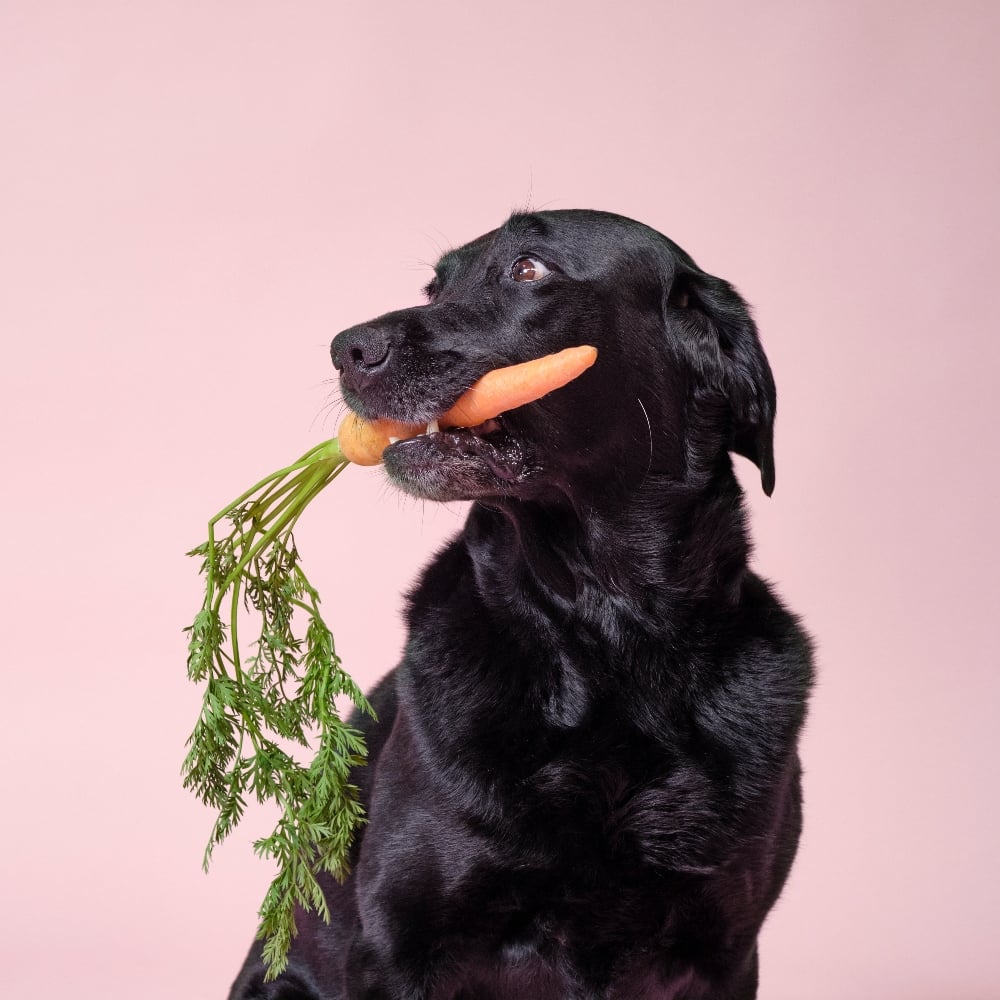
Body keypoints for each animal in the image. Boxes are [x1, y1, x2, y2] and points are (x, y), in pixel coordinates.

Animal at [229, 211, 812, 1000]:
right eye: (435, 286)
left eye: (528, 269)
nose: (347, 350)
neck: (610, 635)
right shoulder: (401, 946)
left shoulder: (724, 949)